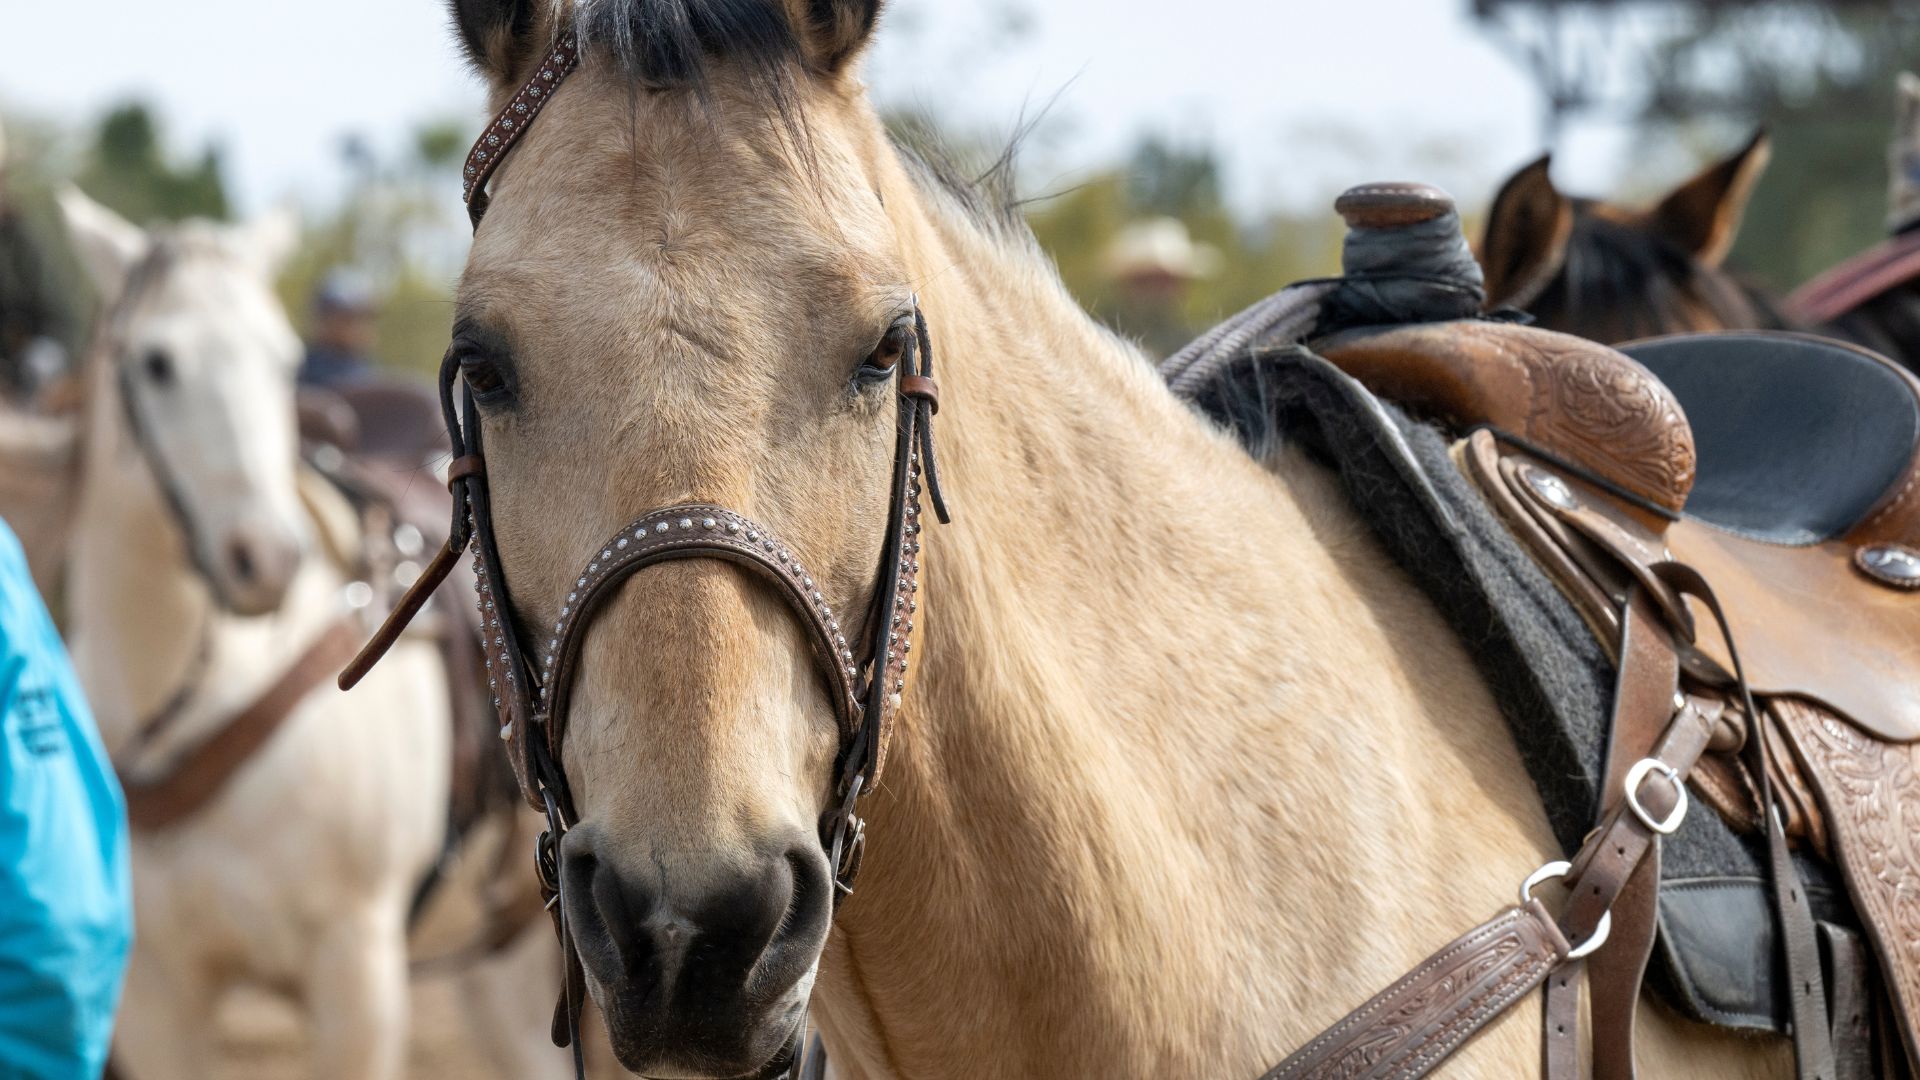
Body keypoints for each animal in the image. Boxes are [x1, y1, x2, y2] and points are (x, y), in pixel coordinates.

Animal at [55, 189, 603, 1080]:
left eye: (281, 360)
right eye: (157, 363)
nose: (267, 558)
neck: (205, 703)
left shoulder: (355, 973)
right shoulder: (157, 1001)